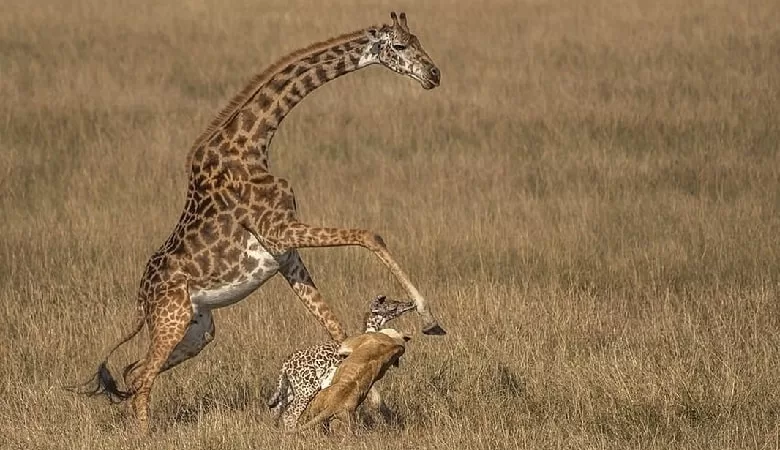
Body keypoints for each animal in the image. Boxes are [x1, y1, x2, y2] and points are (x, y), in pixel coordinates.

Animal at [77, 10, 448, 432]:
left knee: (135, 370)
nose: (434, 74)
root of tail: (141, 299)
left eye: (418, 40)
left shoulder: (285, 254)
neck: (253, 144)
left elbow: (335, 328)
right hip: (172, 319)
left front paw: (374, 401)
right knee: (142, 377)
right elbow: (368, 234)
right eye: (399, 45)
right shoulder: (279, 229)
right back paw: (144, 433)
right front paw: (429, 318)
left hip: (198, 329)